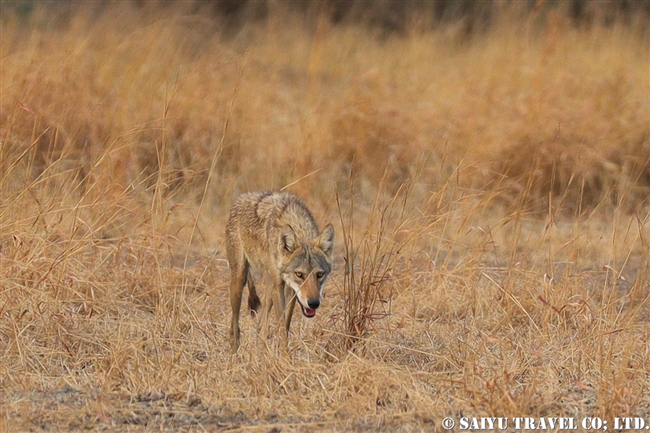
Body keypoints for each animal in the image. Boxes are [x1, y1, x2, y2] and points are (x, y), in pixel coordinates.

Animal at [224, 191, 334, 352]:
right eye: (299, 274)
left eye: (320, 274)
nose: (313, 303)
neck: (297, 225)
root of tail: (241, 197)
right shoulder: (279, 286)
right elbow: (281, 326)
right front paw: (284, 356)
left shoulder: (291, 291)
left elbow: (286, 323)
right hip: (240, 279)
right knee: (234, 326)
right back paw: (234, 353)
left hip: (269, 284)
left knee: (261, 325)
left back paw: (261, 352)